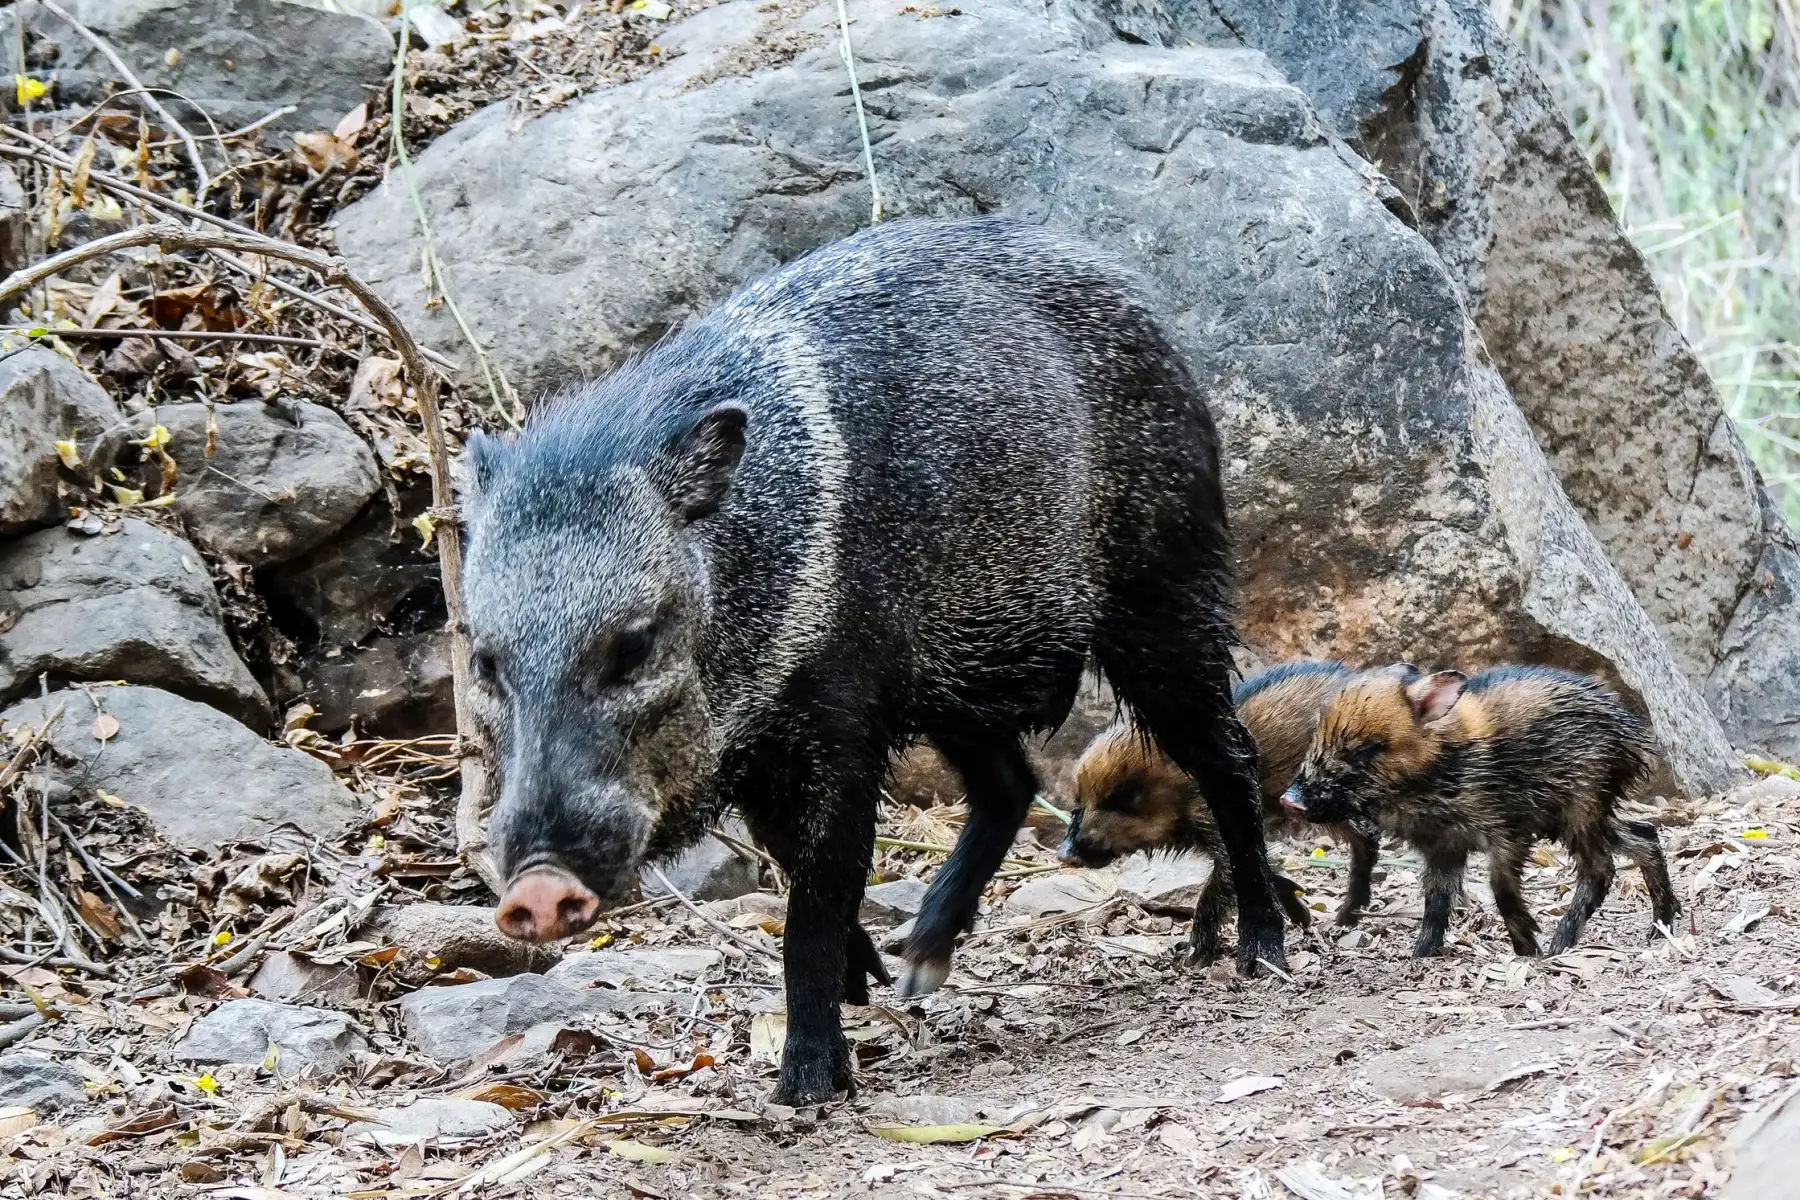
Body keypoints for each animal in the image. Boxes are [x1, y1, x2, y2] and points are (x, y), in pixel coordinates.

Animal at [458, 216, 1285, 1106]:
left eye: (636, 643)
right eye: (485, 662)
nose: (538, 888)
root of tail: (1134, 292)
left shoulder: (837, 719)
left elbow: (814, 907)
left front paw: (808, 1086)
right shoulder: (774, 749)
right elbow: (800, 873)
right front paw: (867, 985)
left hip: (1164, 593)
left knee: (1227, 759)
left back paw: (1263, 949)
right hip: (954, 678)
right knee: (1011, 784)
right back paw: (919, 964)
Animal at [1060, 660, 1385, 962]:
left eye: (1123, 795)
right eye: (1078, 800)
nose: (1063, 855)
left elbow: (1219, 889)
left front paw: (1192, 957)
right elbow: (1267, 869)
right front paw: (1301, 915)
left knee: (1368, 835)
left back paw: (1348, 914)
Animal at [1280, 664, 1680, 957]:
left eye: (1363, 750)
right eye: (1317, 738)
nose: (1289, 800)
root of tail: (1634, 737)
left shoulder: (1508, 833)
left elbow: (1500, 888)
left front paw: (1527, 950)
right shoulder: (1442, 847)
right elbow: (1435, 901)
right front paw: (1421, 955)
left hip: (1582, 808)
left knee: (1601, 868)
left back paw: (1559, 946)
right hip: (1584, 815)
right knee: (1644, 835)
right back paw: (1660, 926)